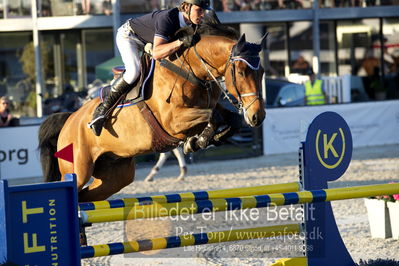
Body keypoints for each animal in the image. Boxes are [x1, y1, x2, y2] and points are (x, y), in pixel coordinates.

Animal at [39, 23, 268, 203]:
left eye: (262, 72)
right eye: (241, 72)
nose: (257, 116)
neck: (191, 71)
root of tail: (70, 119)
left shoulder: (210, 106)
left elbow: (232, 119)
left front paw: (205, 140)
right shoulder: (173, 122)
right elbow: (212, 117)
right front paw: (198, 141)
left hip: (116, 175)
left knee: (86, 197)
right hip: (78, 169)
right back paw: (98, 118)